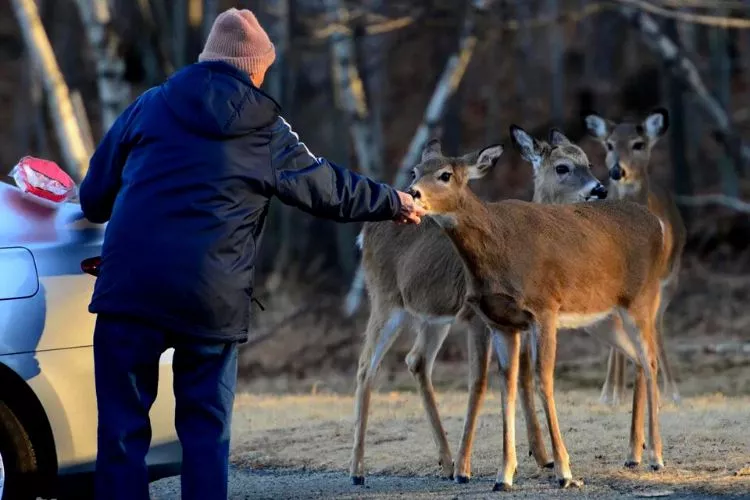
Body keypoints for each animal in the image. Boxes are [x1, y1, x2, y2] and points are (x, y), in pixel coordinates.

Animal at [352, 127, 612, 486]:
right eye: (562, 167)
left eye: (588, 161)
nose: (599, 189)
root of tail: (364, 233)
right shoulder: (477, 318)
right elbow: (479, 382)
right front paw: (468, 468)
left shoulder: (519, 319)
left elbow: (523, 374)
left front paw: (541, 457)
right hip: (386, 300)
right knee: (367, 366)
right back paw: (359, 471)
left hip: (433, 318)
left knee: (416, 360)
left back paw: (445, 461)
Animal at [406, 136, 668, 488]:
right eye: (416, 170)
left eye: (445, 174)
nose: (413, 192)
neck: (498, 248)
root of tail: (657, 224)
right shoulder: (501, 321)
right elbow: (507, 387)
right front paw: (504, 475)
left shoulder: (545, 309)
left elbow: (544, 379)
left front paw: (565, 472)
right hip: (603, 316)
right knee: (639, 359)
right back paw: (633, 454)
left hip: (643, 298)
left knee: (650, 360)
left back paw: (655, 456)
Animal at [584, 108, 692, 406]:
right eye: (609, 145)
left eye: (639, 144)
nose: (616, 171)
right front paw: (611, 392)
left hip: (670, 278)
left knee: (656, 325)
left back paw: (670, 390)